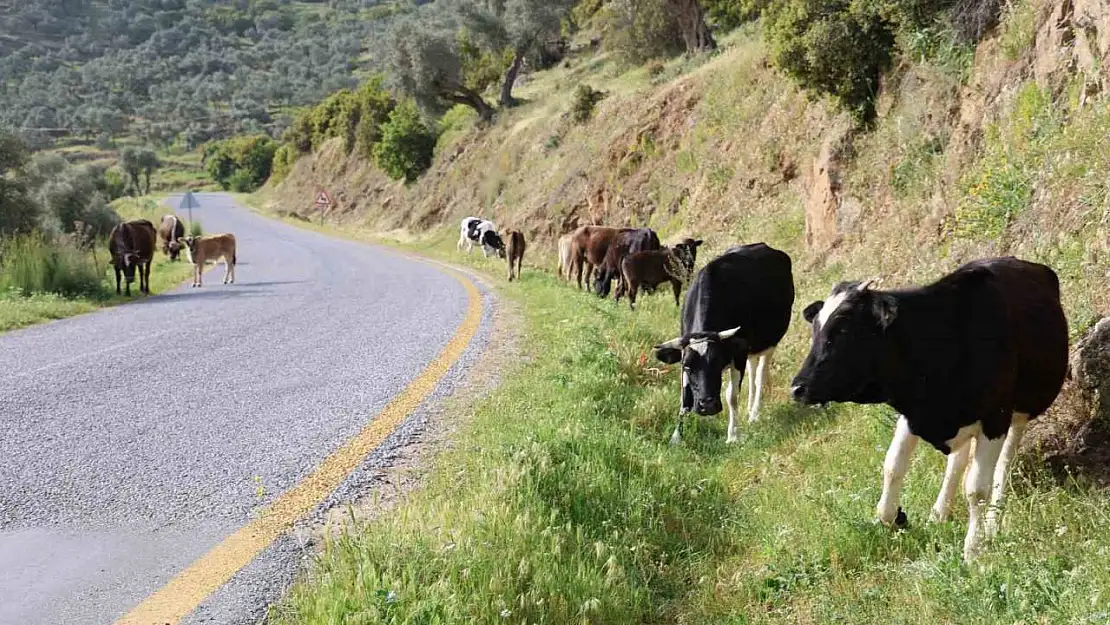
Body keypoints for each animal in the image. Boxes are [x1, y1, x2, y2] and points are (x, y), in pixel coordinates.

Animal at [652, 243, 794, 444]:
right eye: (687, 366)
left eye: (717, 362)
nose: (708, 406)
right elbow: (684, 398)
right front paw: (676, 437)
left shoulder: (738, 353)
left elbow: (731, 396)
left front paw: (733, 435)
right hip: (751, 347)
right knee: (752, 369)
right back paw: (749, 409)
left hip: (770, 341)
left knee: (759, 375)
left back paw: (755, 413)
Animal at [790, 256, 1065, 559]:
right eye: (815, 331)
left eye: (842, 331)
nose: (798, 388)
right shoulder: (913, 413)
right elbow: (892, 466)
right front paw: (893, 518)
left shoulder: (994, 418)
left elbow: (977, 489)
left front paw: (974, 549)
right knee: (957, 462)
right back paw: (939, 514)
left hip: (1020, 412)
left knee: (1002, 464)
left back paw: (992, 523)